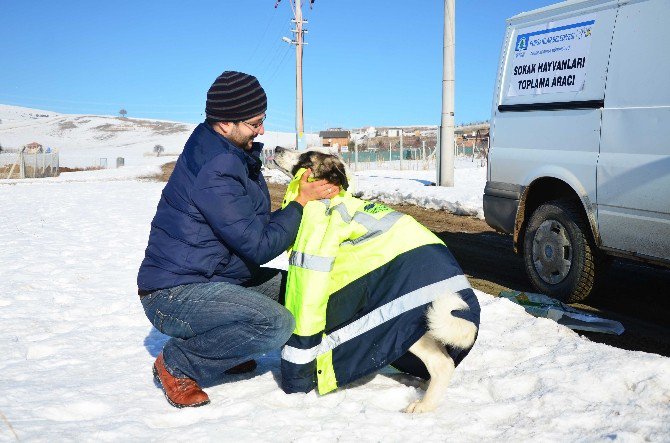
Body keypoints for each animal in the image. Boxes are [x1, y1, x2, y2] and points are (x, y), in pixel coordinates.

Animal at [268, 147, 478, 414]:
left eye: (306, 158)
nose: (277, 148)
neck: (332, 199)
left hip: (404, 323)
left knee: (443, 363)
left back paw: (424, 406)